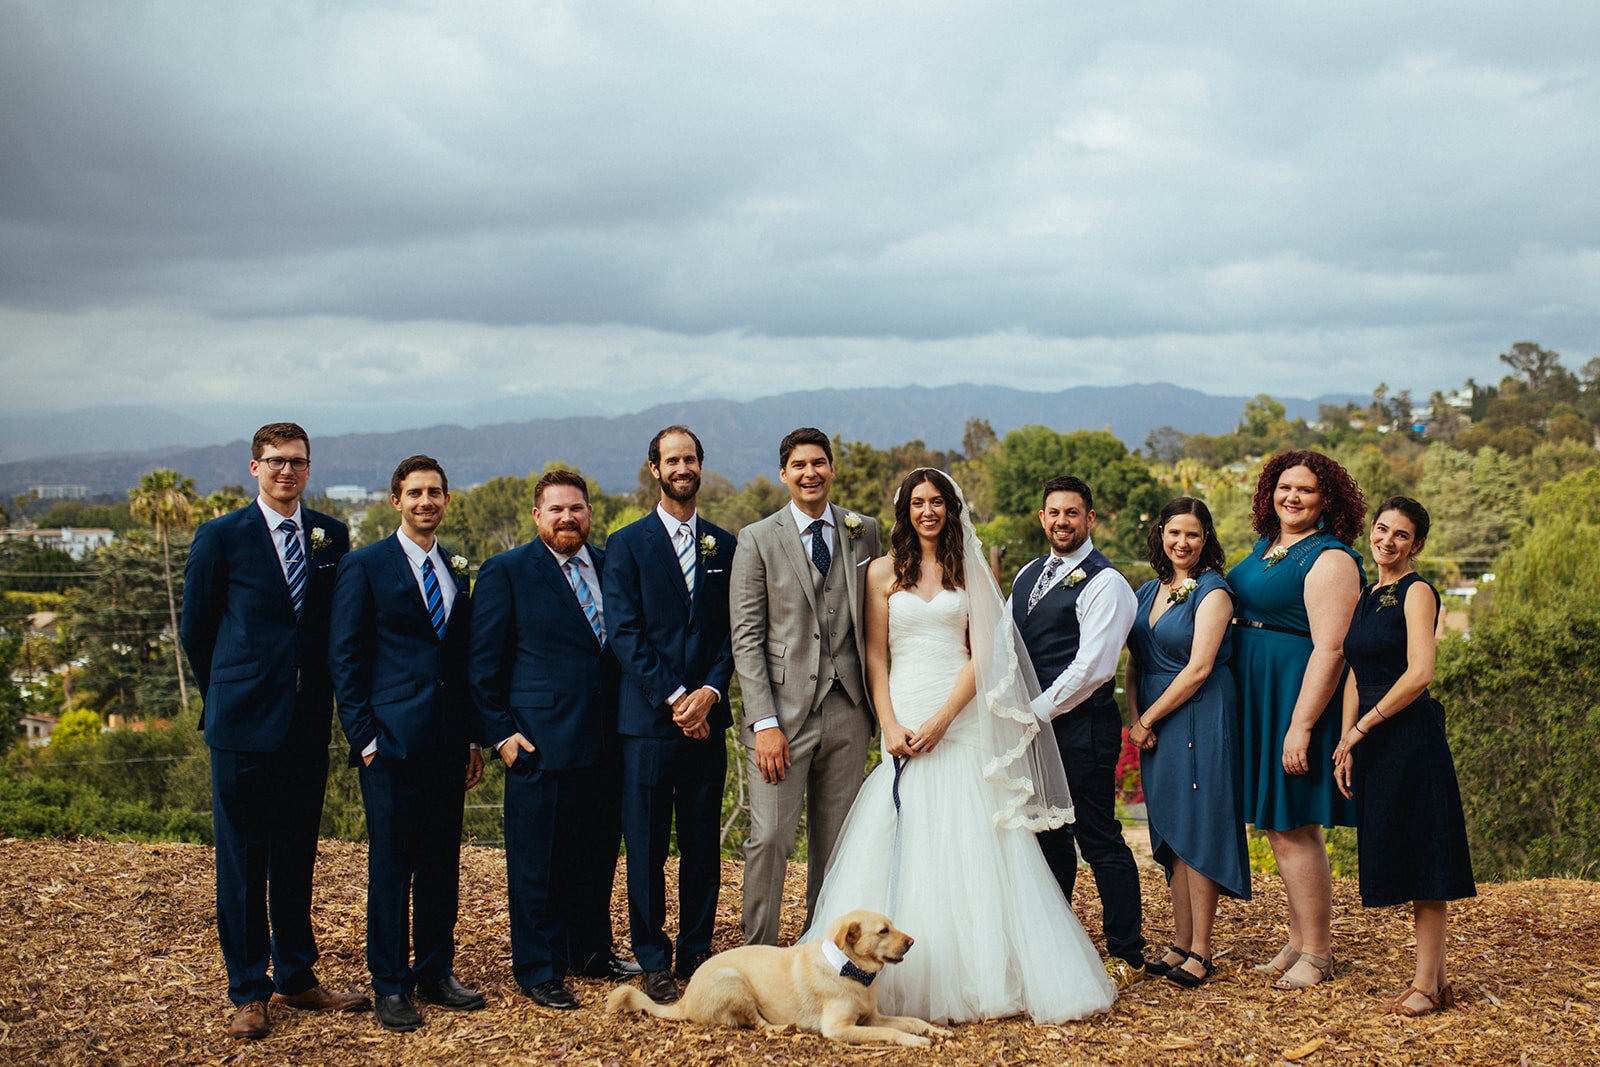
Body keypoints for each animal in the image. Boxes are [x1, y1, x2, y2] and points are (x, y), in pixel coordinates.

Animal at [601, 908, 947, 1049]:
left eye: (892, 925)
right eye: (883, 931)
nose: (912, 941)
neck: (851, 970)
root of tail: (684, 1002)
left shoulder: (871, 1017)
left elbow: (909, 1020)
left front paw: (934, 1030)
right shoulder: (839, 1029)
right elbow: (890, 1033)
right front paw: (916, 1041)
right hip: (733, 981)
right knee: (759, 1025)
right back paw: (785, 1028)